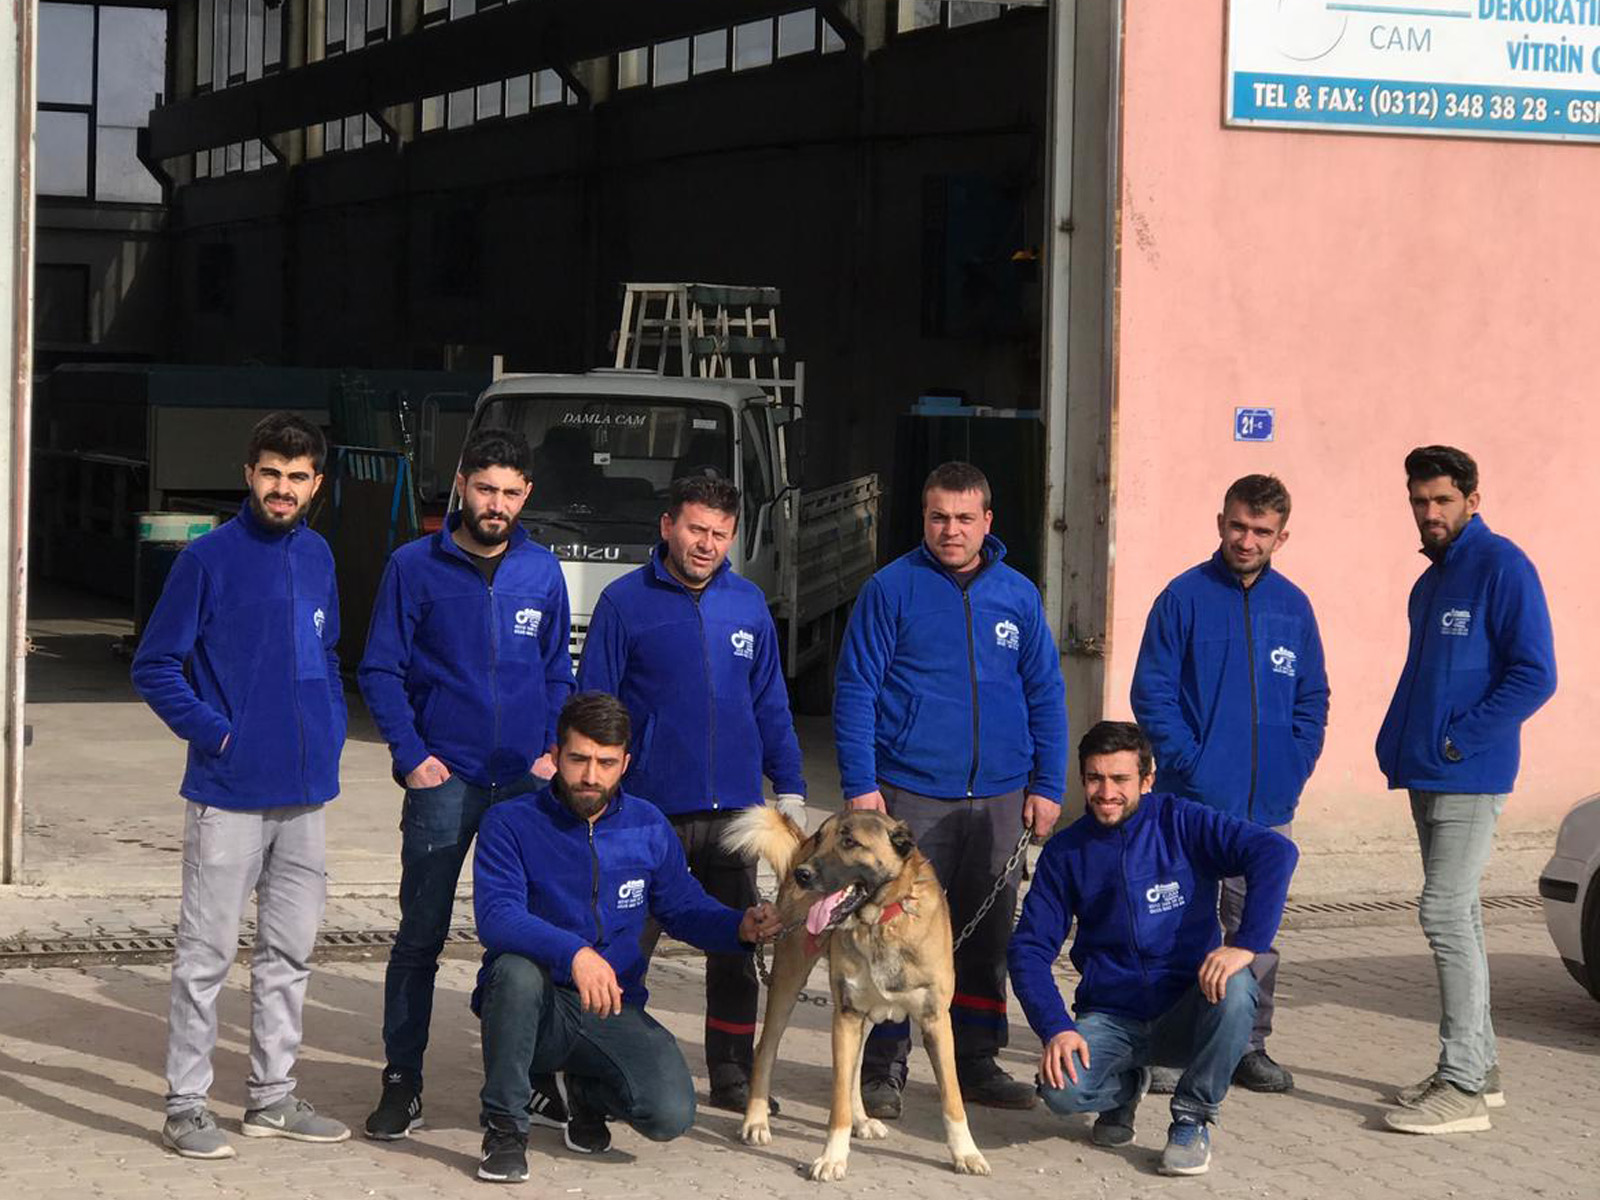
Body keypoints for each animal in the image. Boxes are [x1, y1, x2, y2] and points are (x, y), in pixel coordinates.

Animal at [721, 807, 990, 1182]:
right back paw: (756, 1121)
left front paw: (966, 1153)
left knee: (855, 1066)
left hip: (864, 1016)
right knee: (765, 1050)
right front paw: (832, 1157)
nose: (804, 874)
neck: (882, 920)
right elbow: (838, 1104)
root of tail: (799, 846)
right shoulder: (846, 1015)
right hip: (790, 981)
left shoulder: (935, 1020)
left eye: (850, 842)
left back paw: (862, 1120)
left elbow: (952, 1097)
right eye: (823, 837)